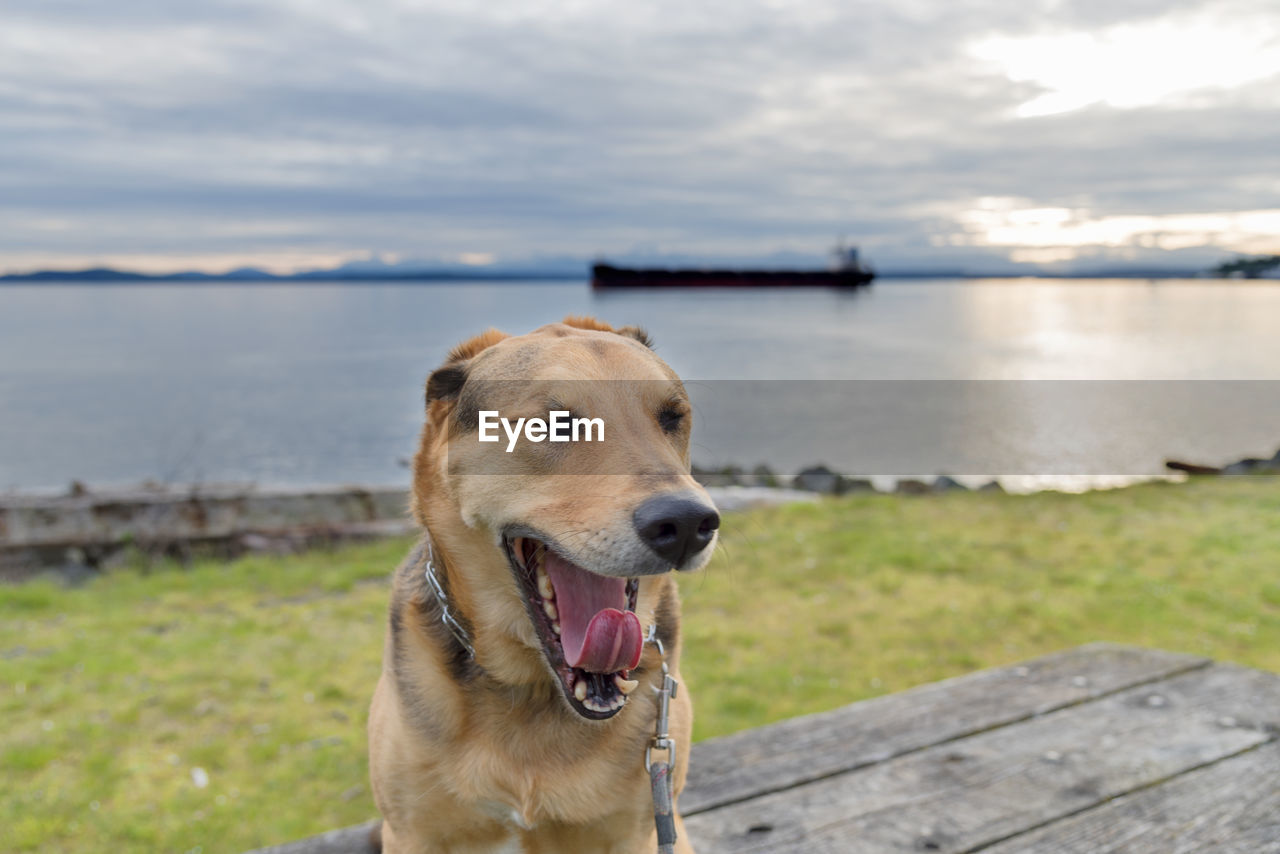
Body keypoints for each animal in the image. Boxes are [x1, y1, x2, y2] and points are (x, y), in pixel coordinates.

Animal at [368, 317, 721, 854]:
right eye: (552, 426)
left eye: (671, 416)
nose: (685, 524)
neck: (534, 688)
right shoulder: (411, 834)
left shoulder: (639, 832)